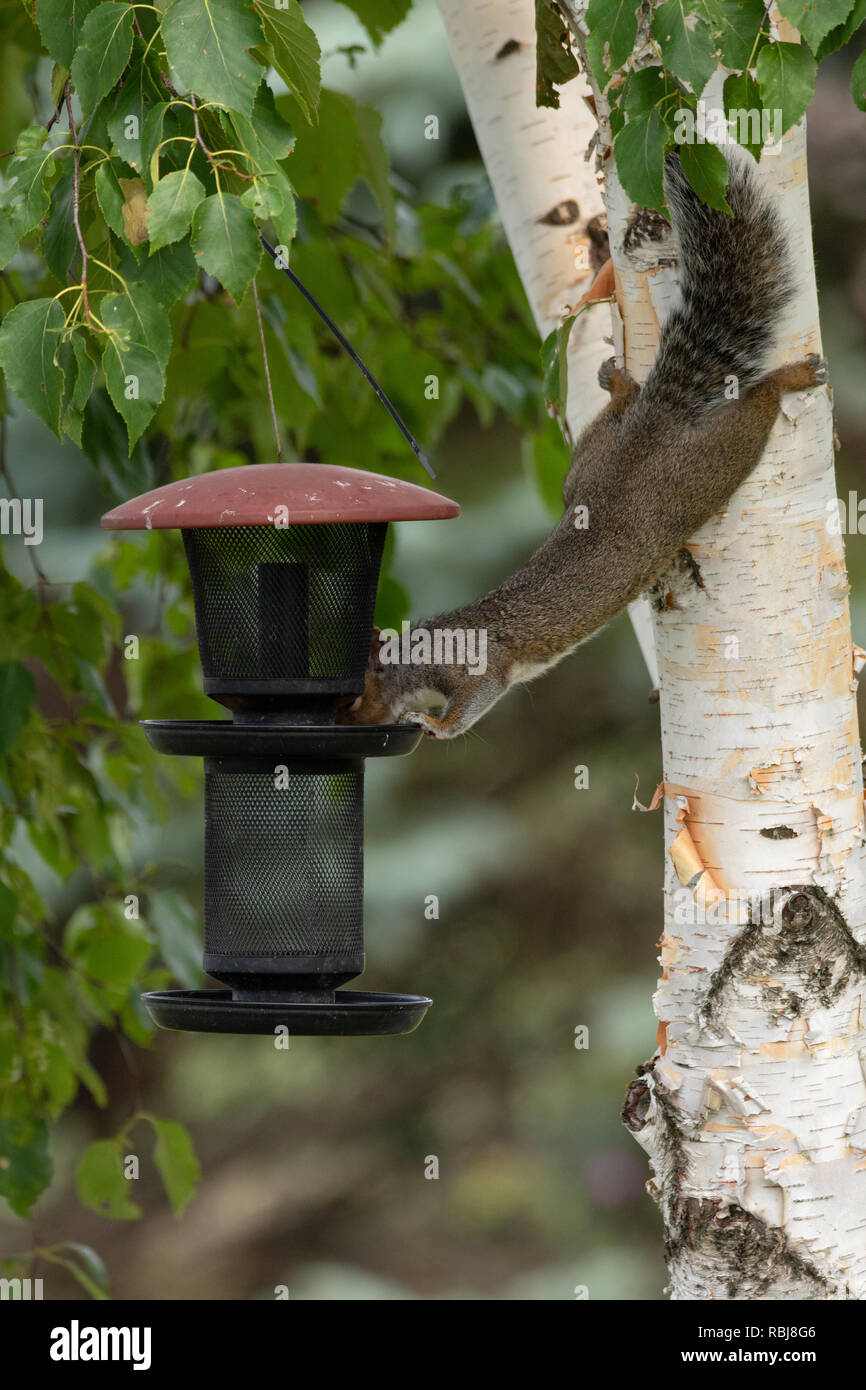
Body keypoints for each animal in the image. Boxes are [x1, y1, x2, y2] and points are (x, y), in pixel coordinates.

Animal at [340, 150, 826, 740]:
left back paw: (788, 379)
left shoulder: (474, 667)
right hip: (591, 461)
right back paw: (619, 385)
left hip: (706, 471)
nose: (349, 717)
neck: (418, 651)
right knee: (617, 418)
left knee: (754, 415)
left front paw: (434, 726)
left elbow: (476, 698)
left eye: (353, 696)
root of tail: (654, 424)